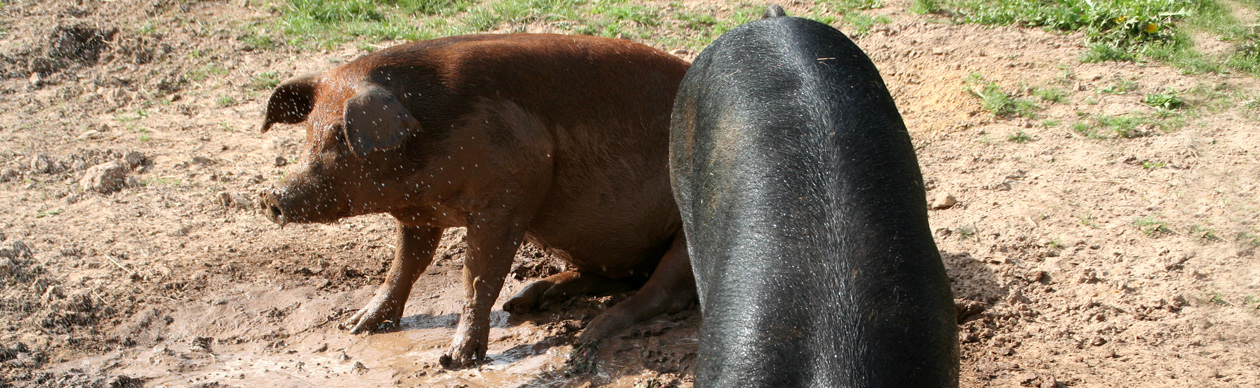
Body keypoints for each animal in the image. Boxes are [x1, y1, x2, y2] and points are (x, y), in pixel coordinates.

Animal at [257, 32, 700, 367]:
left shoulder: (514, 188)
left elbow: (478, 275)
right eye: (309, 135)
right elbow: (405, 266)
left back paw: (588, 334)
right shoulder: (420, 215)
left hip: (688, 229)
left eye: (342, 138)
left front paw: (453, 360)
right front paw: (357, 326)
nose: (272, 196)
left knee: (664, 290)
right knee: (617, 277)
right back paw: (527, 301)